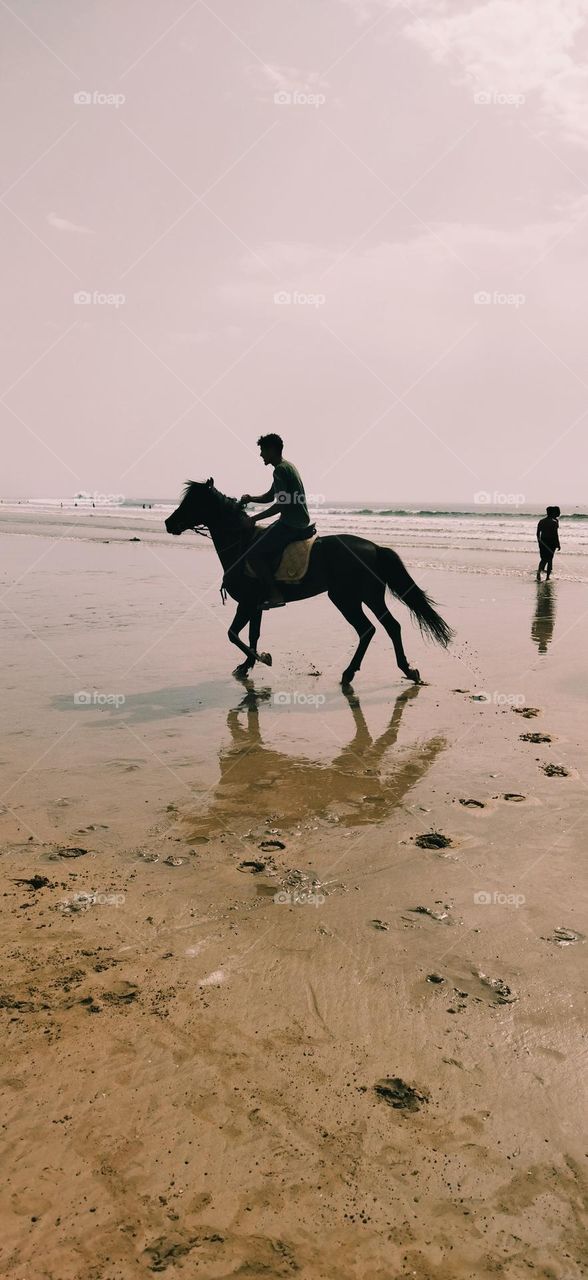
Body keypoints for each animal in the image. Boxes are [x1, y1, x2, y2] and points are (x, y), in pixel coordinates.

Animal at [165, 476, 456, 686]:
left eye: (193, 503)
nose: (169, 523)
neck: (241, 545)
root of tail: (374, 548)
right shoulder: (255, 605)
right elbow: (251, 635)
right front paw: (247, 665)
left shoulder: (246, 603)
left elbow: (234, 635)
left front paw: (262, 658)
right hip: (368, 596)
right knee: (389, 627)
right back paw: (406, 670)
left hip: (346, 598)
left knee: (368, 629)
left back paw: (351, 673)